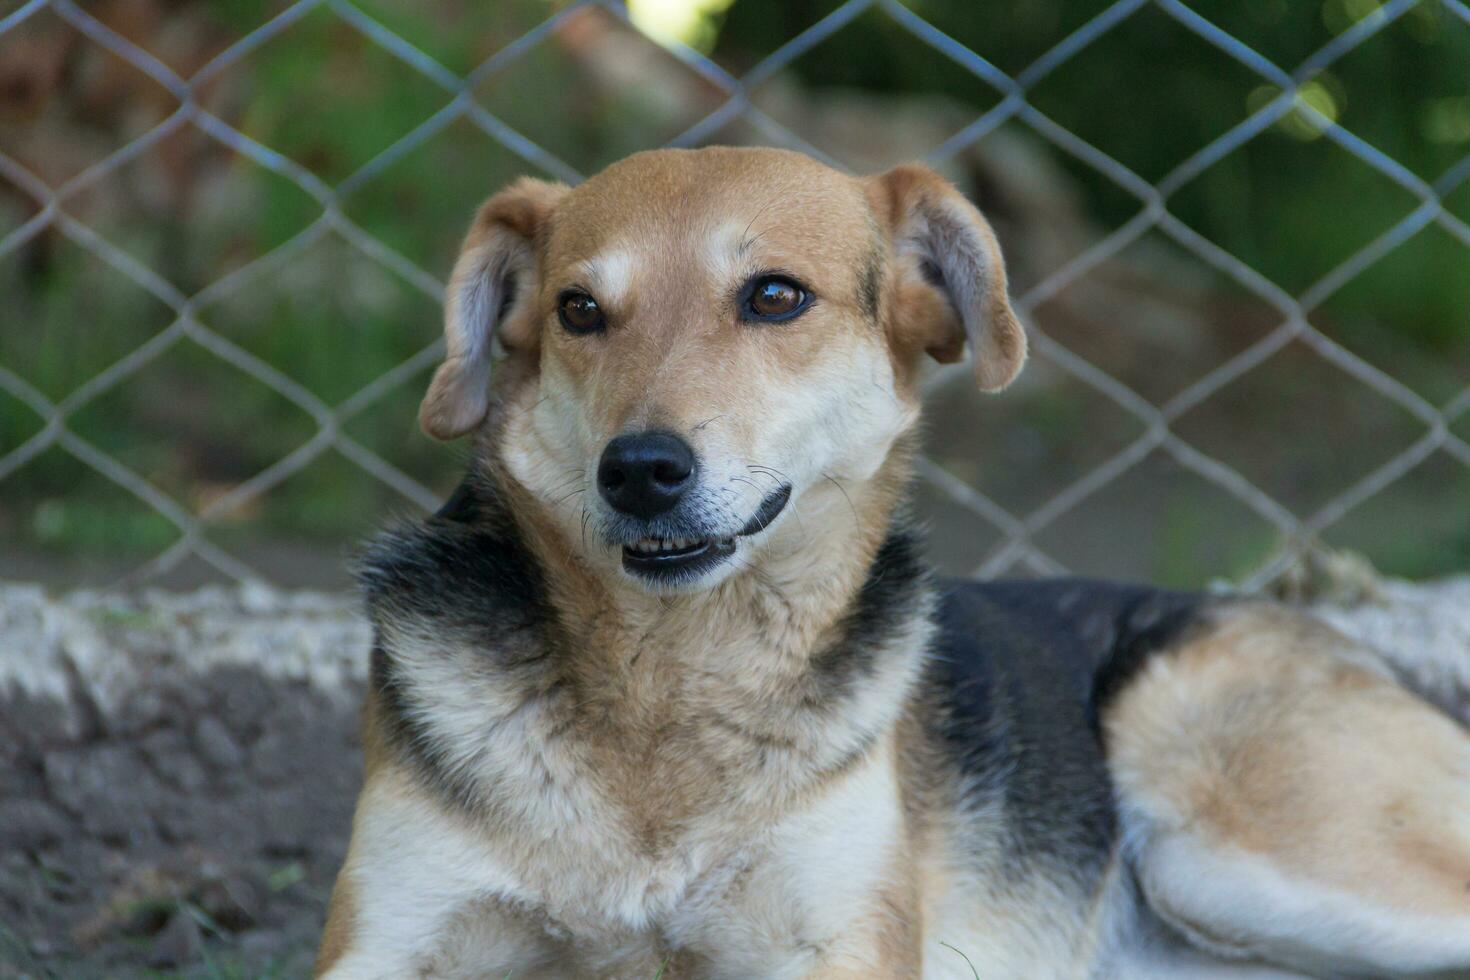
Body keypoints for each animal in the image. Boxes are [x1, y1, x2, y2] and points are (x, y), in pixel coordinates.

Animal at [313, 147, 1470, 980]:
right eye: (579, 311)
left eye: (775, 297)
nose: (637, 471)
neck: (672, 681)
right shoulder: (383, 938)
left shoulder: (845, 939)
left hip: (1226, 819)